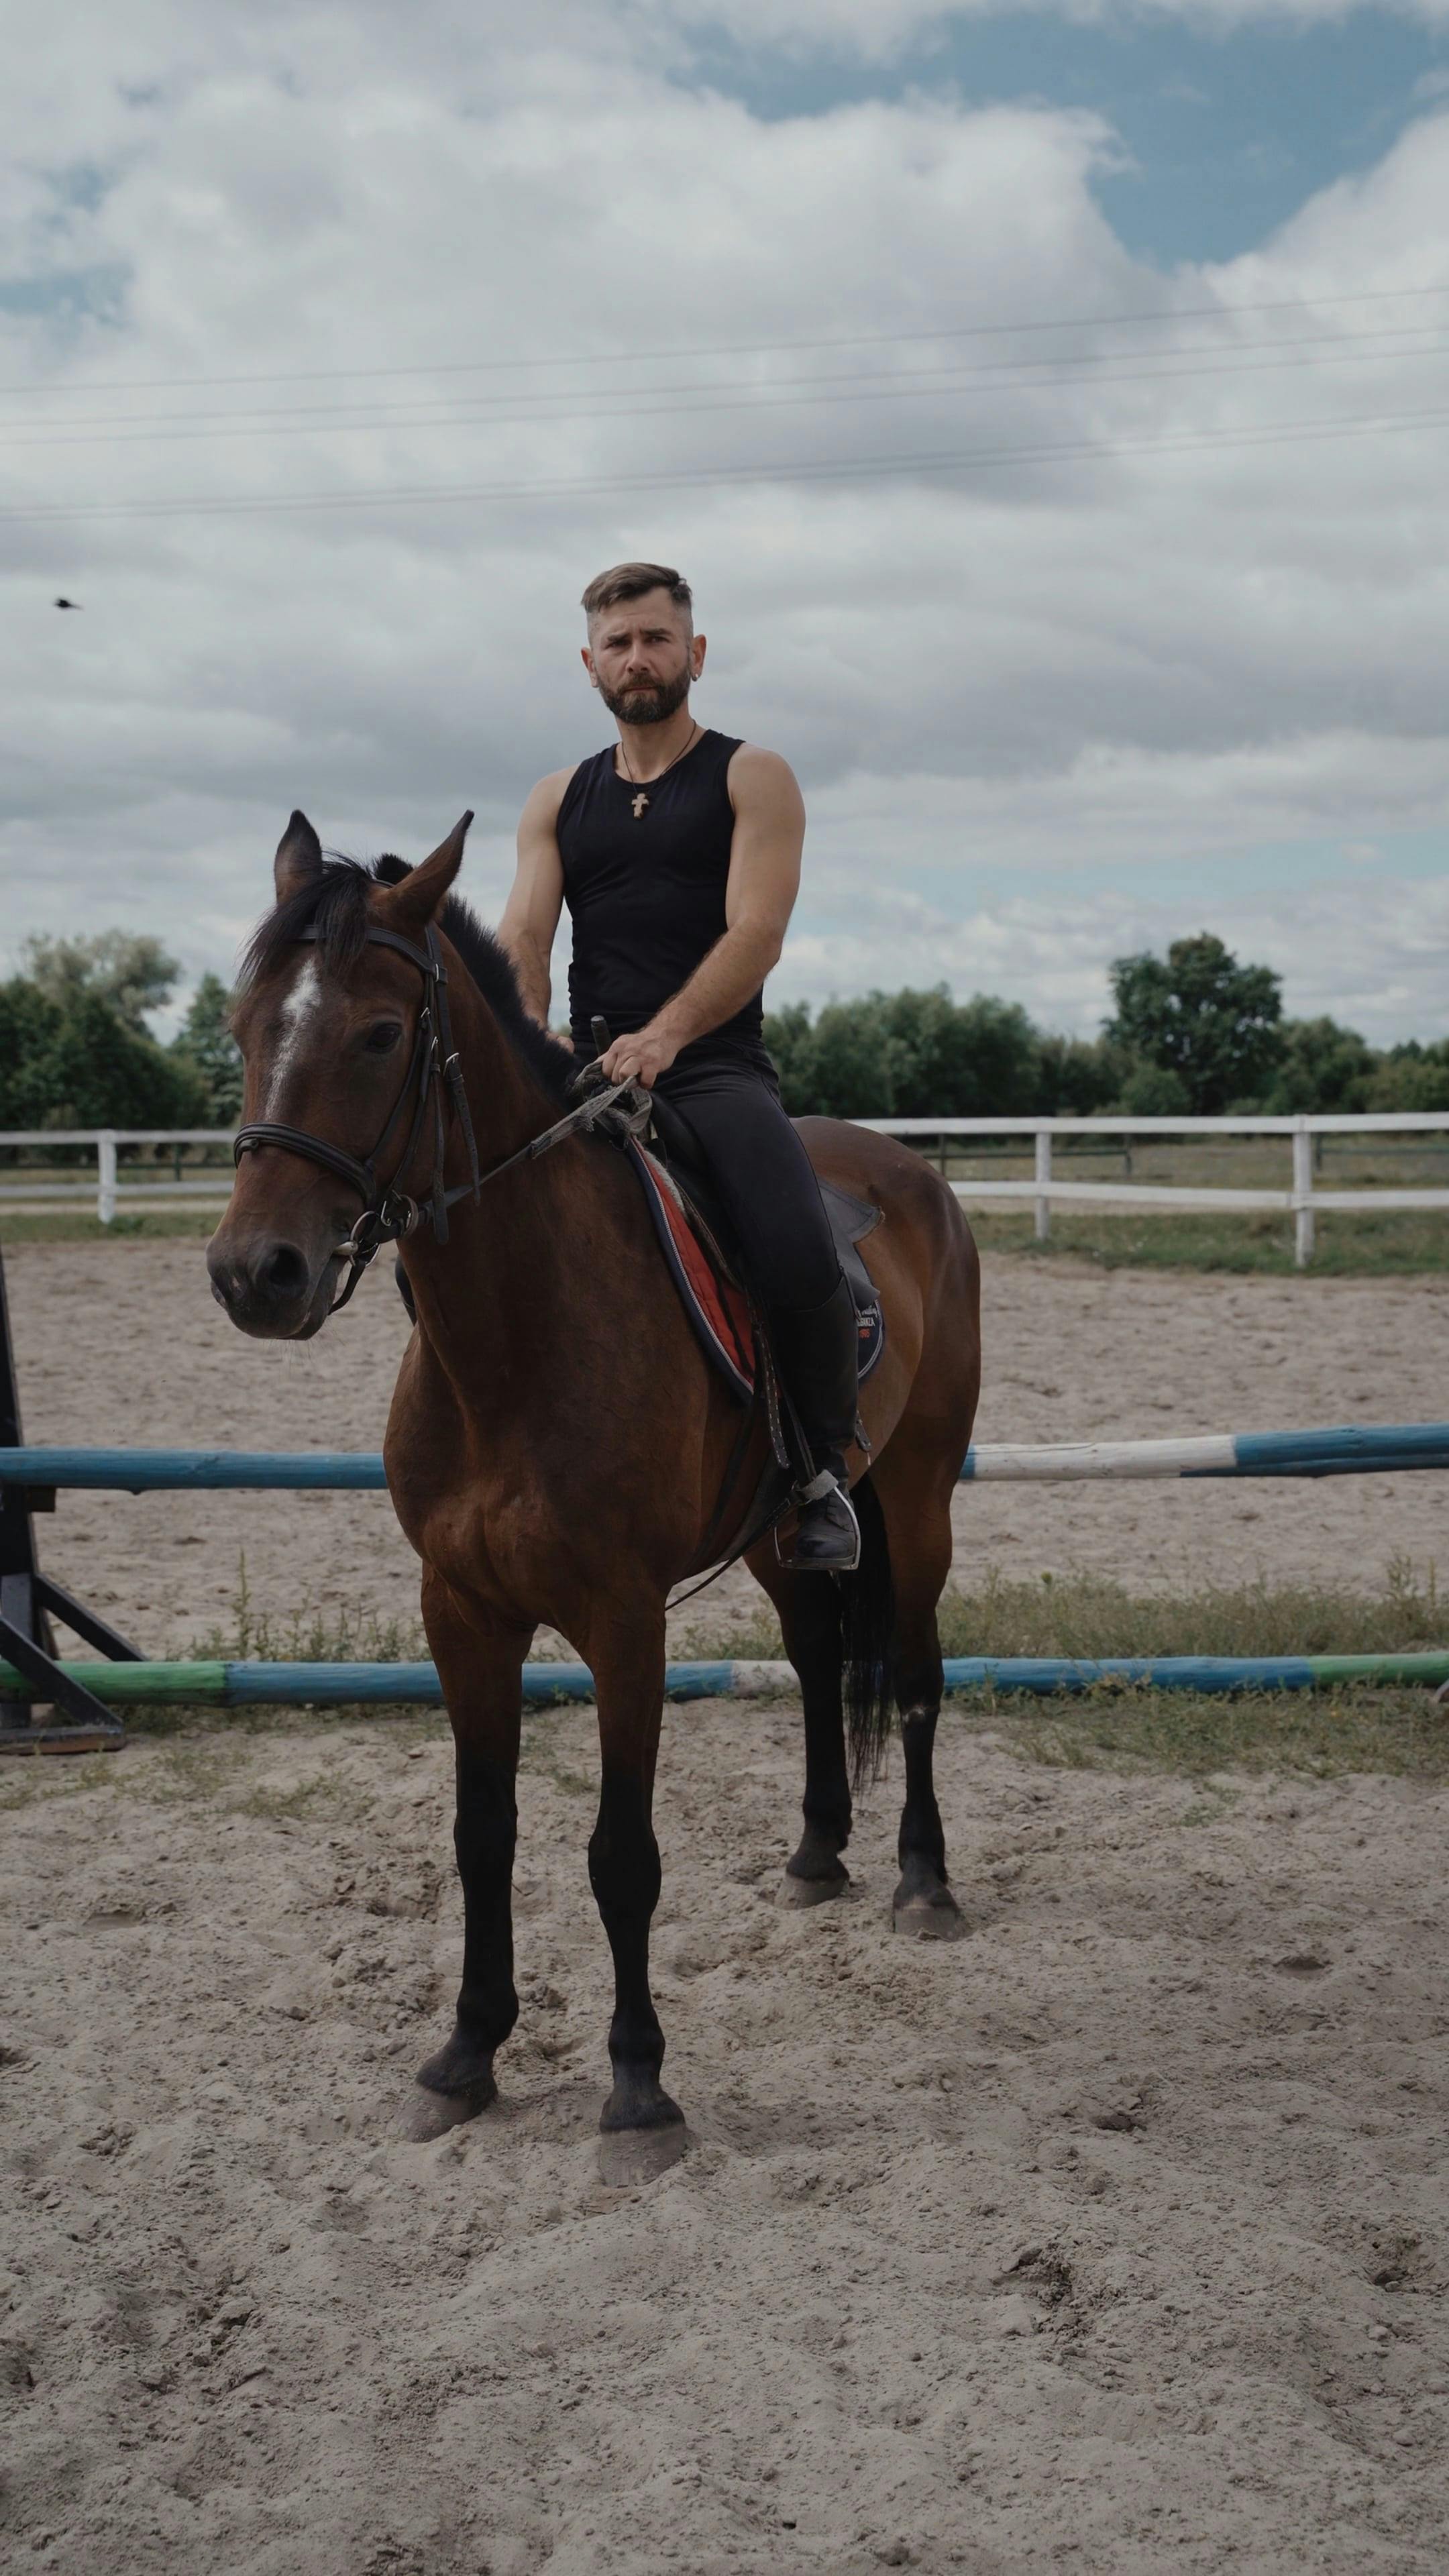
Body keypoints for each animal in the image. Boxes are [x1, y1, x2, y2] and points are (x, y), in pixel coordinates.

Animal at [209, 819, 974, 2174]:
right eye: (247, 1025)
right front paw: (464, 2055)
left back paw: (920, 1880)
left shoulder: (624, 1622)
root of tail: (912, 1174)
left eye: (380, 1034)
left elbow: (622, 1855)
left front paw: (639, 2086)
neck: (516, 1339)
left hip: (923, 1499)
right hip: (784, 1539)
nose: (258, 1274)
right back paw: (817, 1852)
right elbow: (483, 1835)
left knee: (921, 1675)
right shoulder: (460, 1613)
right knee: (819, 1659)